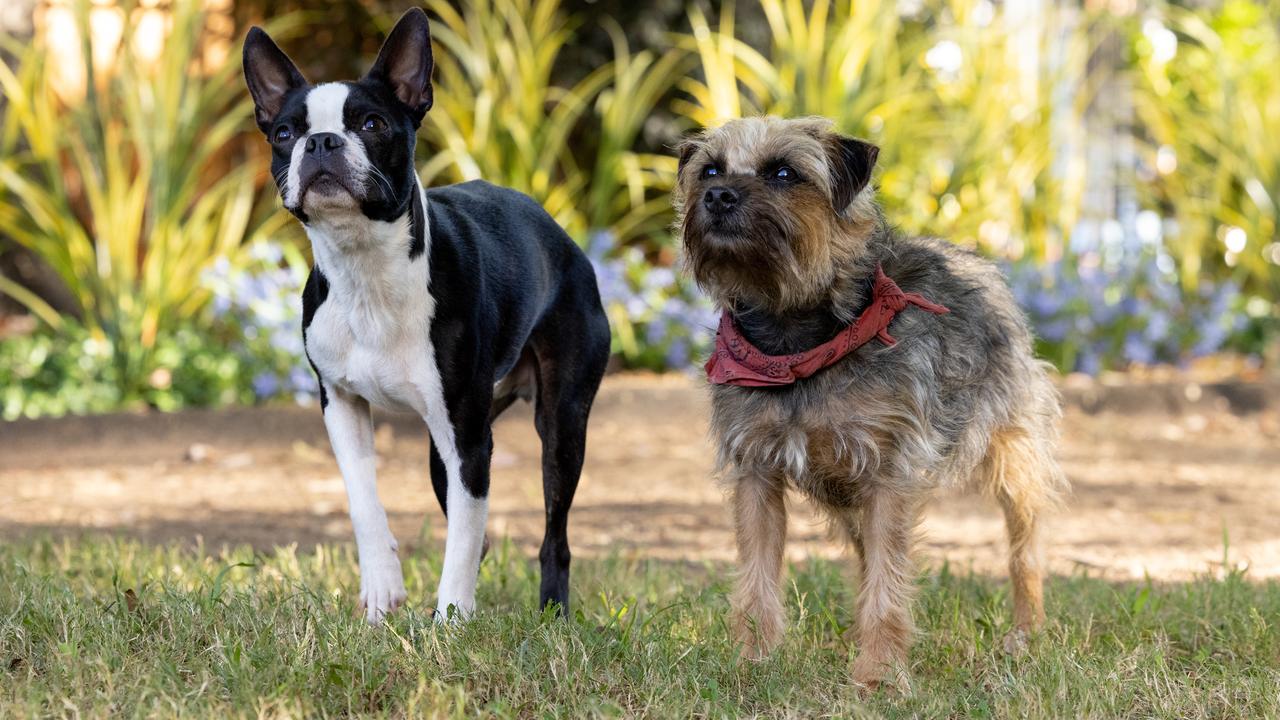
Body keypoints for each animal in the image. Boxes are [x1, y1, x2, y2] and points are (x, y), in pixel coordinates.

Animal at [245, 8, 614, 620]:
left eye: (372, 124)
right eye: (284, 134)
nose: (320, 141)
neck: (366, 270)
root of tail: (563, 237)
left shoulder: (467, 435)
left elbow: (464, 536)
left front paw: (451, 621)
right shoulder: (341, 406)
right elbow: (366, 503)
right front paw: (381, 591)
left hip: (559, 422)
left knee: (553, 535)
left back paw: (553, 613)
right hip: (448, 445)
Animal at [675, 117, 1064, 691]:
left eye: (783, 173)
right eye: (710, 170)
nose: (718, 195)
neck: (796, 344)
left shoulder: (889, 477)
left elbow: (888, 587)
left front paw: (879, 676)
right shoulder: (757, 474)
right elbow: (757, 579)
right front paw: (754, 663)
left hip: (1013, 460)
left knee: (1025, 548)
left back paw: (1025, 632)